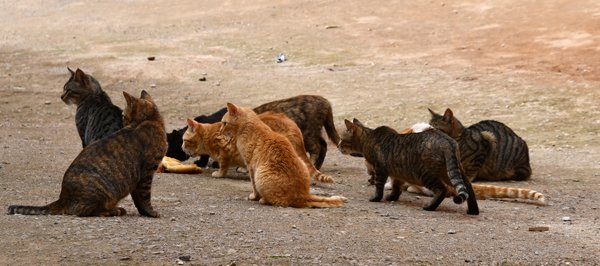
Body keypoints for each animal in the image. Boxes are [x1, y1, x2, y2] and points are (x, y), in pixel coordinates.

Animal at [8, 90, 169, 217]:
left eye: (123, 116)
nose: (123, 122)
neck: (150, 120)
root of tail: (63, 197)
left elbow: (138, 199)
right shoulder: (146, 174)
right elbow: (144, 198)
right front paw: (151, 213)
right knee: (83, 211)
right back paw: (113, 211)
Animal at [168, 95, 342, 170]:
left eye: (171, 145)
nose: (166, 155)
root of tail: (325, 101)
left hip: (307, 134)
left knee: (318, 148)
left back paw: (312, 165)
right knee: (324, 145)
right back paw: (317, 166)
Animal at [180, 111, 336, 183]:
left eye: (184, 140)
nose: (181, 148)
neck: (210, 135)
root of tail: (293, 126)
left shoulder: (224, 152)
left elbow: (223, 166)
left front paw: (219, 173)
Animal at [338, 118, 478, 214]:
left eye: (341, 139)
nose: (338, 145)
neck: (368, 137)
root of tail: (447, 140)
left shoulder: (380, 169)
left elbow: (379, 187)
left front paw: (376, 198)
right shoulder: (397, 173)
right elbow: (396, 186)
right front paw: (392, 197)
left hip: (426, 175)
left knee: (441, 190)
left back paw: (429, 207)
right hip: (452, 171)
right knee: (468, 187)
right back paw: (473, 211)